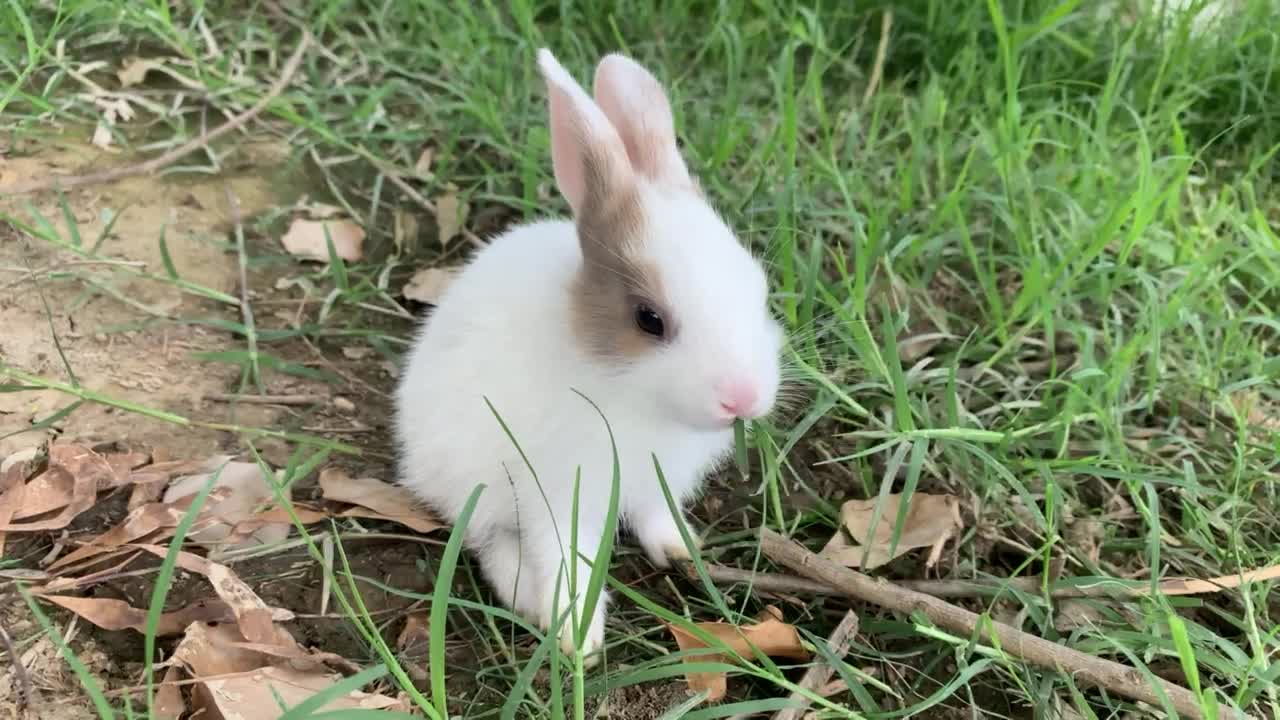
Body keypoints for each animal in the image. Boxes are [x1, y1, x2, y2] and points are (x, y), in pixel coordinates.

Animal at [394, 47, 783, 661]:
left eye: (760, 289)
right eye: (649, 319)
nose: (741, 399)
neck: (627, 391)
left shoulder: (656, 482)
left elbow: (654, 516)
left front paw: (680, 550)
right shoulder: (559, 490)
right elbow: (565, 559)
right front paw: (580, 639)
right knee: (489, 541)